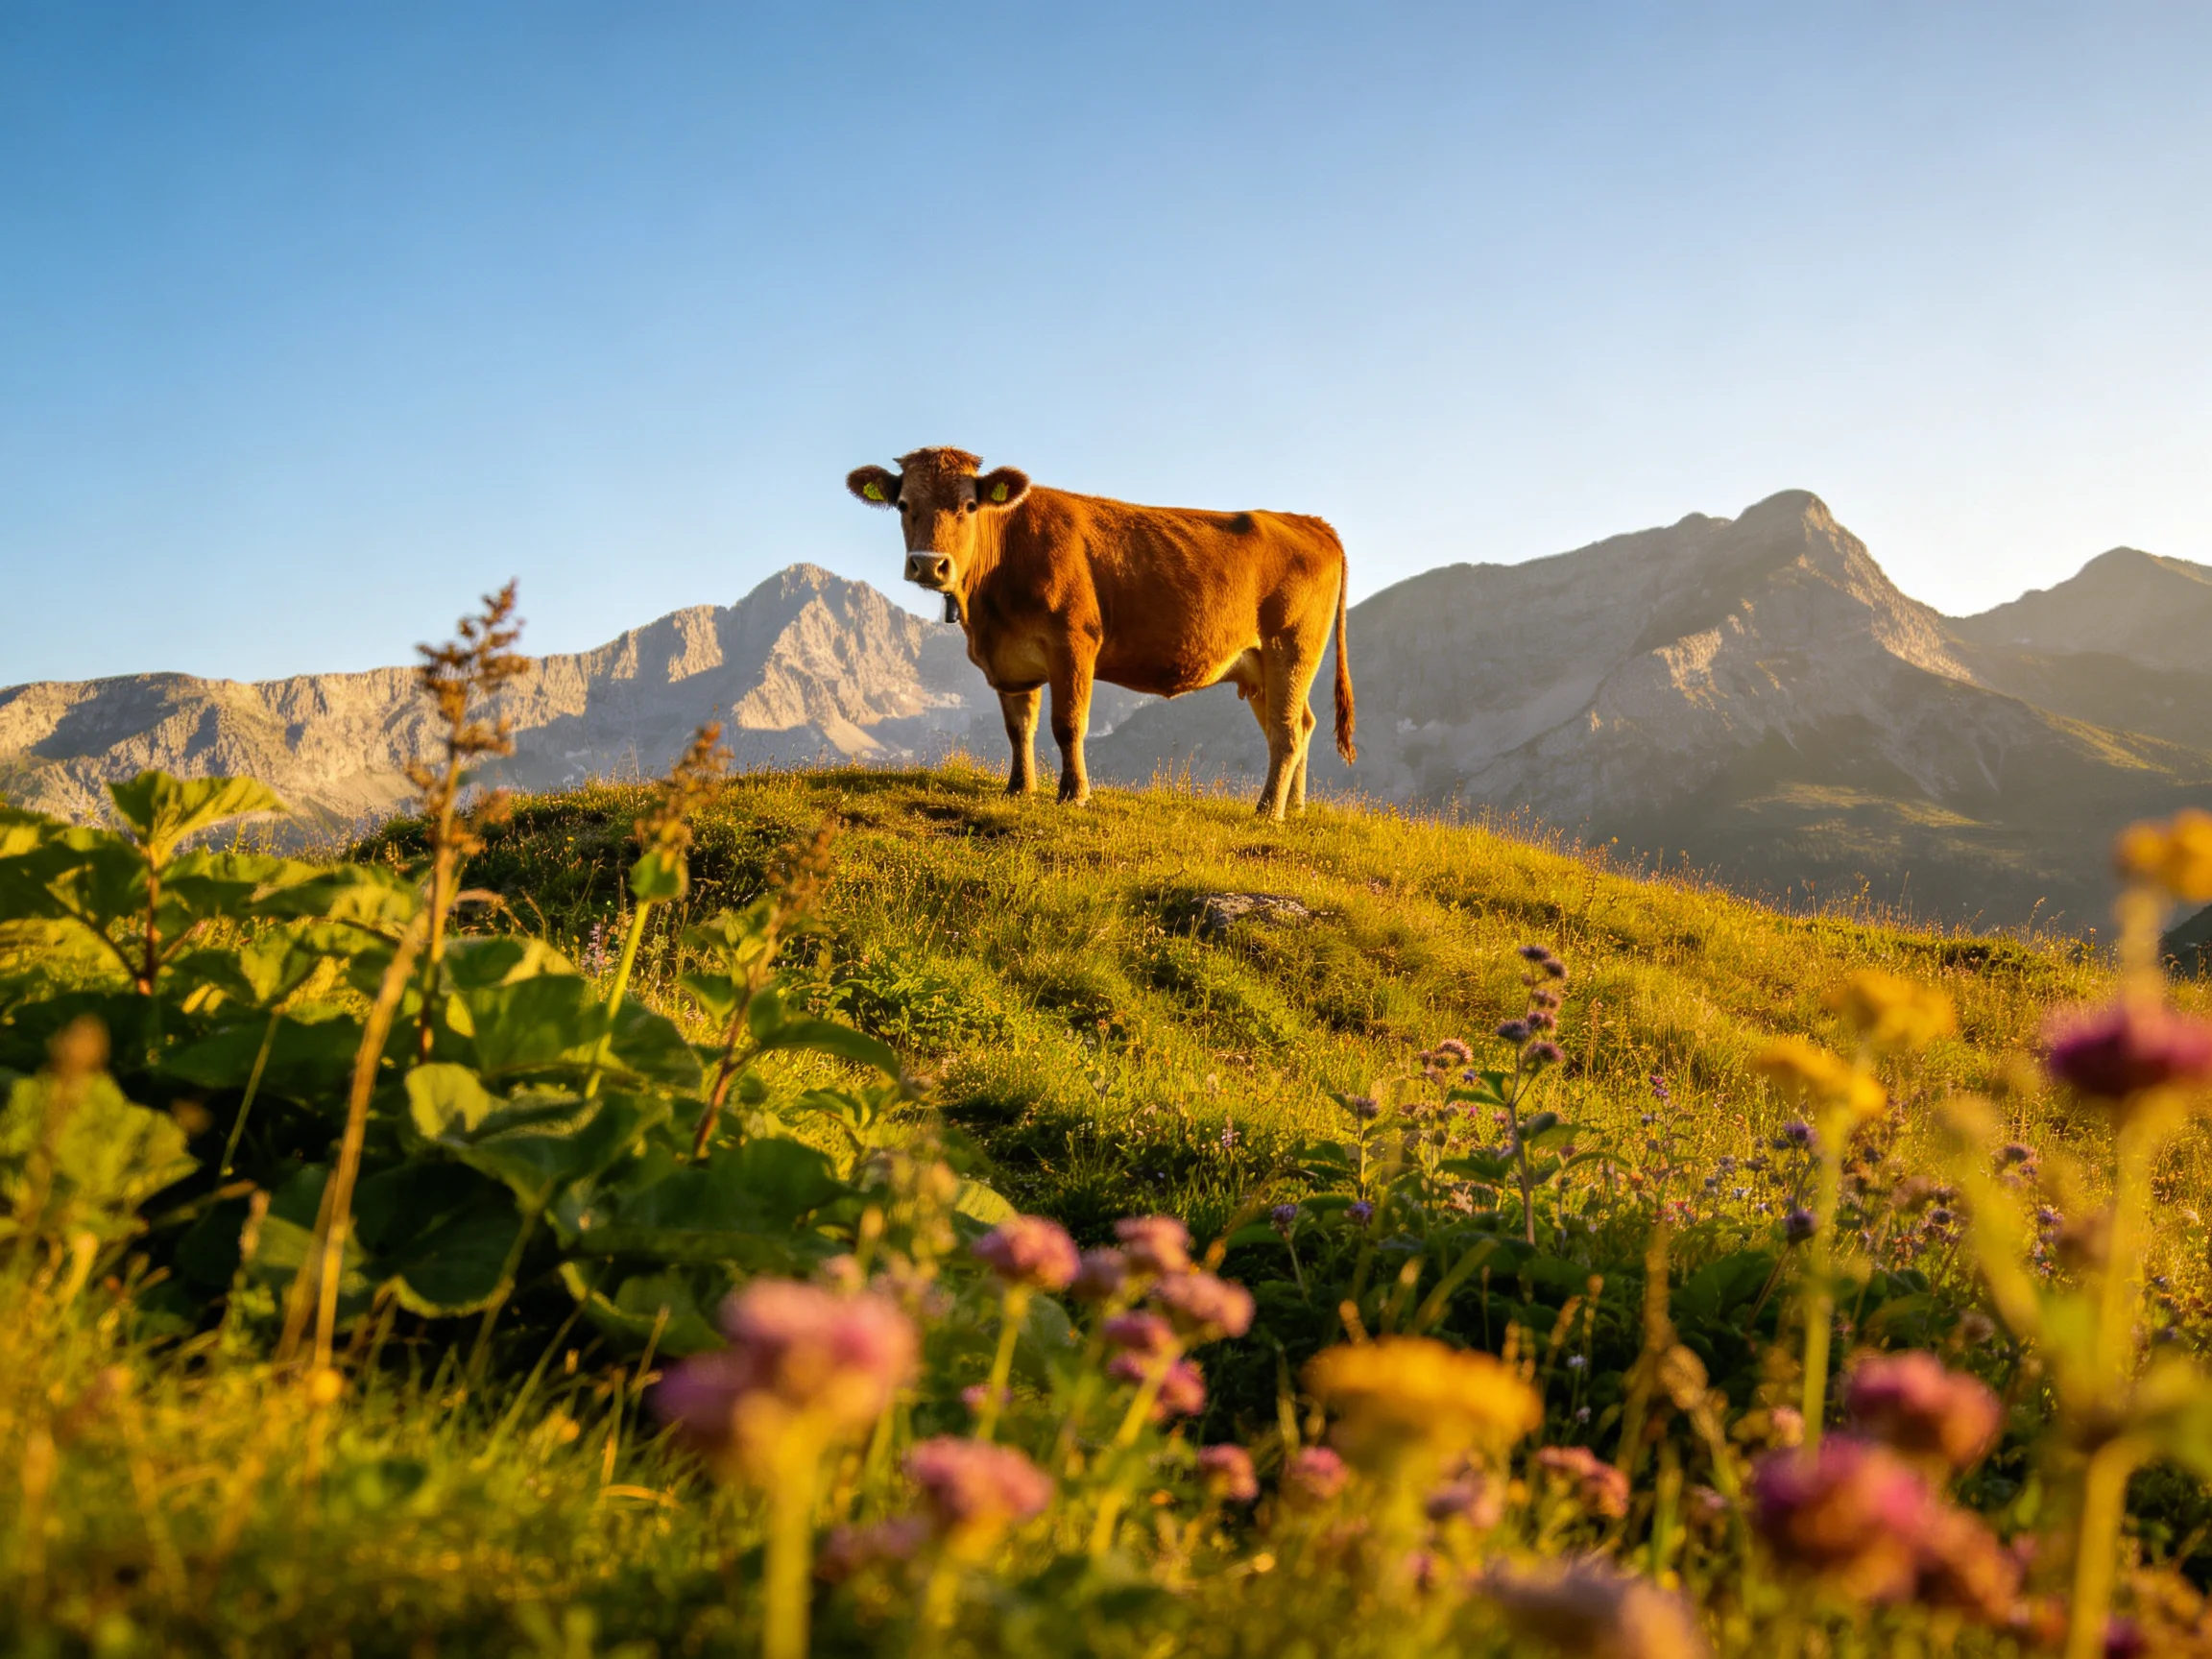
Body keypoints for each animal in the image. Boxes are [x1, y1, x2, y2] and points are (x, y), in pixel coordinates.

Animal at [846, 447, 1354, 820]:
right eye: (904, 505)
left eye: (969, 506)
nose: (929, 564)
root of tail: (1308, 521)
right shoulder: (1011, 660)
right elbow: (1019, 727)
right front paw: (1019, 789)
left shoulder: (1073, 643)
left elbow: (1067, 723)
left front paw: (1074, 794)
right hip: (1261, 666)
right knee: (1299, 725)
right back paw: (1296, 807)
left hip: (1291, 648)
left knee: (1286, 731)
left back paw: (1268, 811)